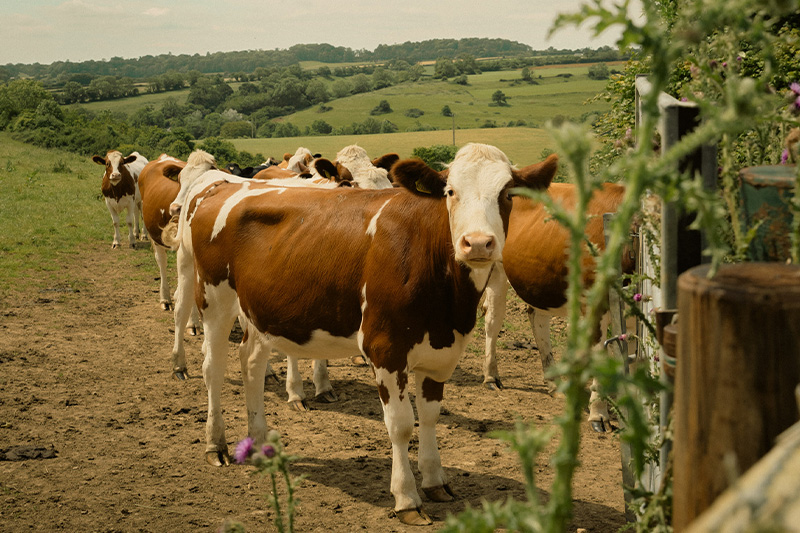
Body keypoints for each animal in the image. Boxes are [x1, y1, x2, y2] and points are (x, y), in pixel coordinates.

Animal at [164, 143, 556, 520]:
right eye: (450, 191)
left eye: (507, 193)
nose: (476, 243)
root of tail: (225, 185)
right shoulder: (386, 348)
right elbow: (401, 425)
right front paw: (407, 498)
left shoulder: (441, 351)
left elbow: (430, 416)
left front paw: (435, 481)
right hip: (214, 297)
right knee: (213, 368)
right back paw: (215, 443)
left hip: (262, 310)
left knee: (251, 363)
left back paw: (259, 442)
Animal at [478, 182, 636, 432]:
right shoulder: (593, 305)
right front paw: (598, 415)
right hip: (495, 270)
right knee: (493, 320)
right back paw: (491, 377)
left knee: (537, 318)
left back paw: (554, 384)